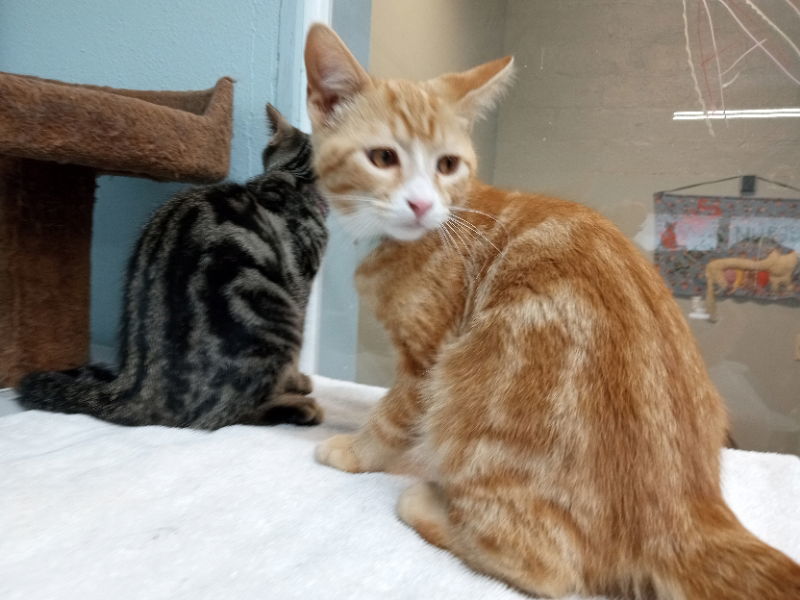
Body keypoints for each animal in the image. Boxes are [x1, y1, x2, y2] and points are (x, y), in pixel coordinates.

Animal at [302, 24, 800, 600]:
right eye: (383, 157)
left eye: (447, 164)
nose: (422, 204)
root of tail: (692, 511)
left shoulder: (427, 360)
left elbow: (393, 416)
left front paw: (354, 450)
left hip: (475, 397)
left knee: (551, 570)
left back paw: (425, 502)